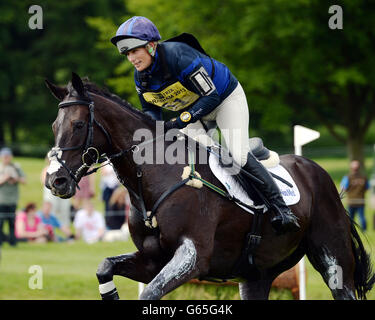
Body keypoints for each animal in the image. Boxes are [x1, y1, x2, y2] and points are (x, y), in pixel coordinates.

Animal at [44, 72, 375, 300]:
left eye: (78, 125)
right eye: (54, 126)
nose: (55, 181)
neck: (154, 175)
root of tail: (316, 171)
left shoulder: (192, 257)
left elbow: (150, 293)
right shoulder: (152, 261)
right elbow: (105, 267)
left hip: (334, 262)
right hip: (256, 276)